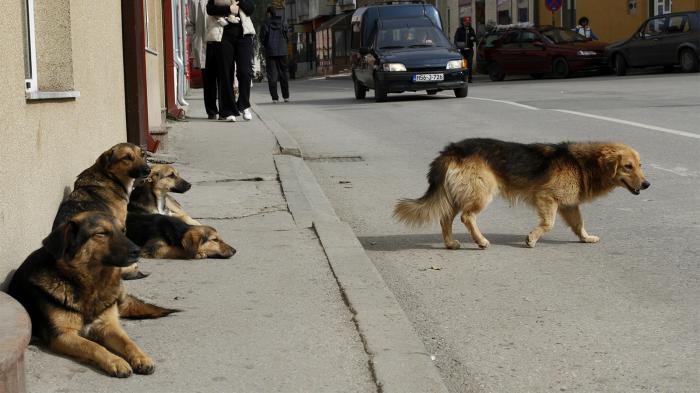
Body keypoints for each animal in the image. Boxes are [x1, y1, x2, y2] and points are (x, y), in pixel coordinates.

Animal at [8, 211, 178, 376]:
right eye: (101, 233)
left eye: (123, 231)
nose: (138, 251)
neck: (91, 286)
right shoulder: (62, 335)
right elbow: (93, 346)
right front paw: (115, 361)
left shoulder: (108, 326)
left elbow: (128, 342)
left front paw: (141, 357)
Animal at [394, 138, 652, 248]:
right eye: (628, 166)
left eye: (640, 165)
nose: (647, 184)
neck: (581, 163)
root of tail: (452, 150)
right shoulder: (547, 198)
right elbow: (548, 224)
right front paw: (532, 239)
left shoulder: (568, 205)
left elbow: (579, 224)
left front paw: (585, 238)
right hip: (481, 193)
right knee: (467, 217)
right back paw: (481, 241)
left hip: (459, 194)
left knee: (446, 218)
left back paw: (450, 243)